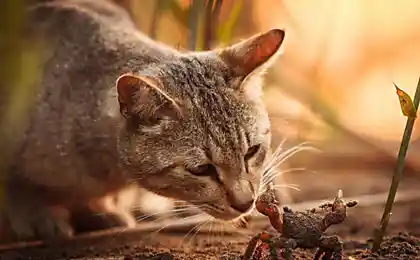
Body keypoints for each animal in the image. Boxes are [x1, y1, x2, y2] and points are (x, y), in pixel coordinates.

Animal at [0, 0, 286, 242]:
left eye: (252, 151)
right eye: (201, 169)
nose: (245, 203)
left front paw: (96, 209)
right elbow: (16, 187)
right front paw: (35, 214)